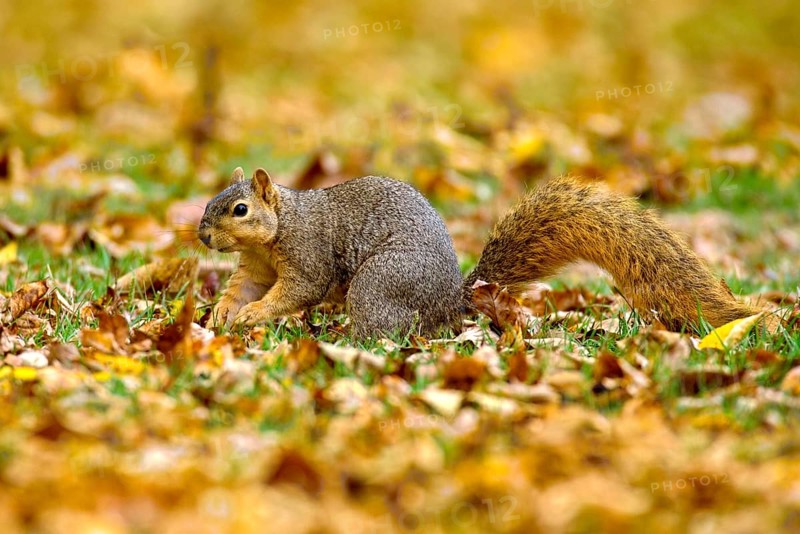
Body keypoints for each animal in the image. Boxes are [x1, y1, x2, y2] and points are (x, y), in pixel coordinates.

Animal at [198, 167, 759, 338]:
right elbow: (242, 286)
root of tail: (452, 300)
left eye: (240, 209)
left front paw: (253, 314)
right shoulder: (255, 266)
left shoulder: (308, 253)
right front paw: (225, 314)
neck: (280, 228)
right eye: (210, 203)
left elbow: (298, 289)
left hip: (380, 283)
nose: (203, 236)